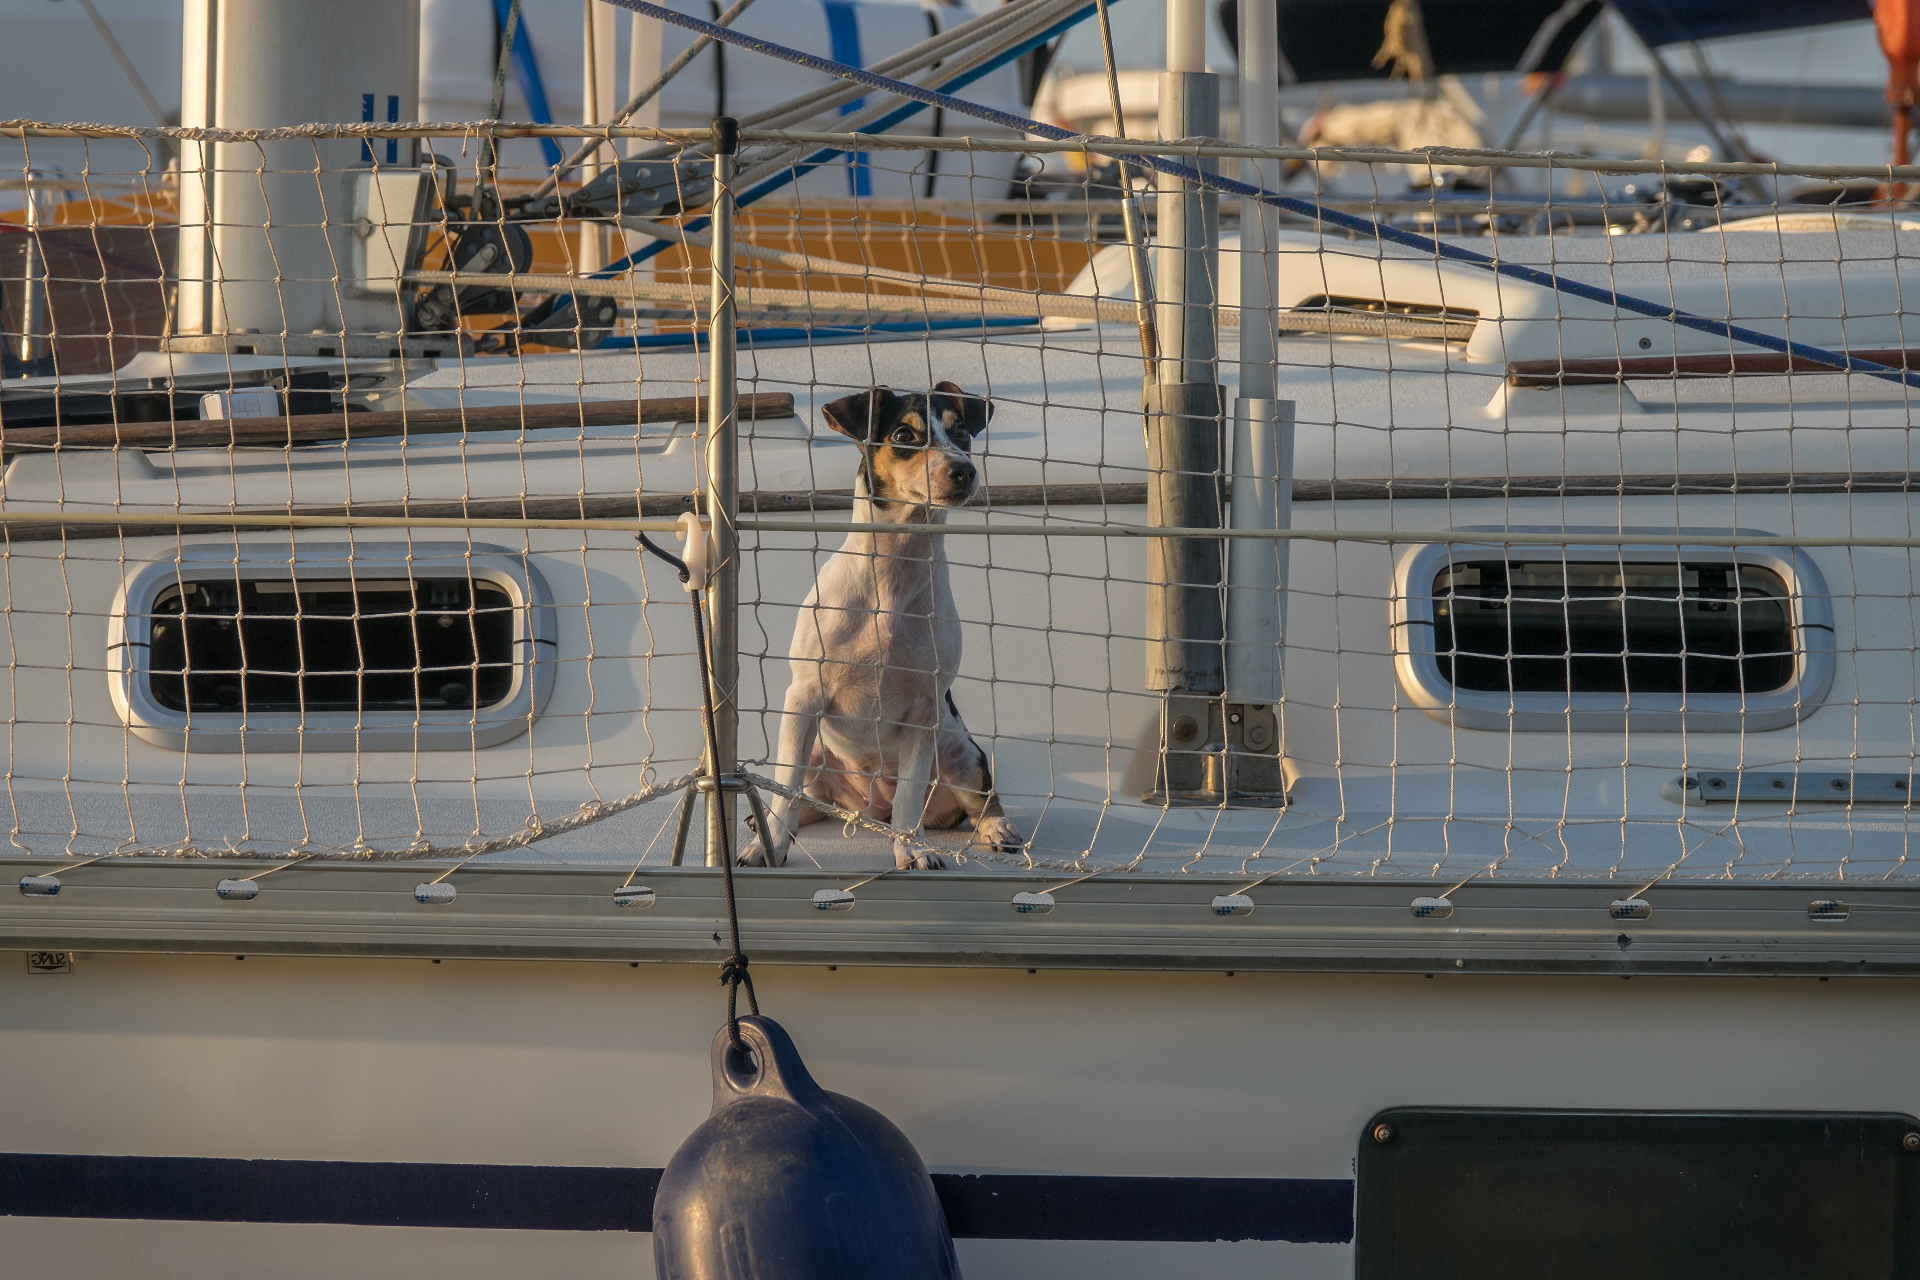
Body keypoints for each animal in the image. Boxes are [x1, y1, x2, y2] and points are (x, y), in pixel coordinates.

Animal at [744, 376, 1021, 867]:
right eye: (904, 436)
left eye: (962, 432)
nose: (963, 470)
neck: (893, 574)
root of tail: (872, 810)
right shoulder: (803, 698)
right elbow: (785, 790)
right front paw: (770, 844)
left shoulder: (925, 713)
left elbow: (910, 795)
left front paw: (912, 850)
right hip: (816, 751)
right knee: (808, 798)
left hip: (963, 754)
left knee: (979, 800)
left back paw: (995, 827)